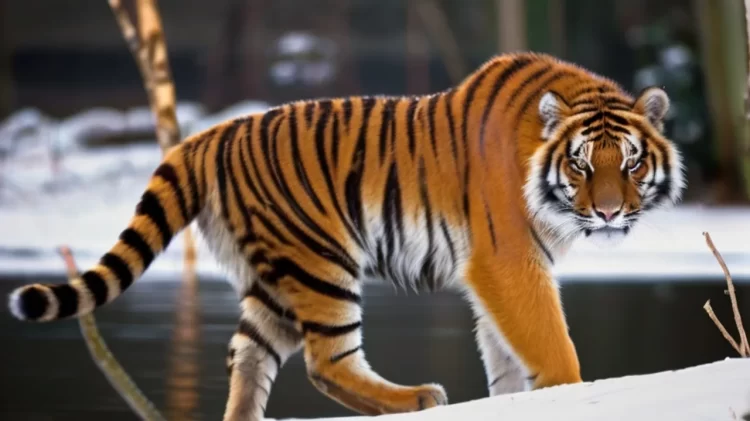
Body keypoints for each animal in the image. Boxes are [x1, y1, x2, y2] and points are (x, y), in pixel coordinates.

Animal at [7, 52, 685, 420]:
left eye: (629, 163)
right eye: (581, 165)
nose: (607, 214)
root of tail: (210, 135)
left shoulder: (503, 272)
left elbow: (508, 355)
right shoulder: (507, 259)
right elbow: (549, 344)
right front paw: (569, 392)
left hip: (273, 280)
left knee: (247, 355)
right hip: (320, 262)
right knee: (325, 362)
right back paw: (420, 398)